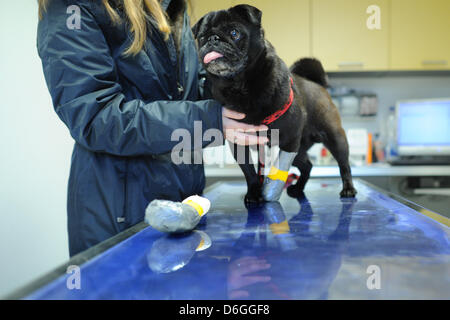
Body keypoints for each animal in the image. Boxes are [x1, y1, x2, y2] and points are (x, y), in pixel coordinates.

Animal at [192, 4, 356, 202]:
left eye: (234, 33)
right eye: (202, 37)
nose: (212, 39)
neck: (241, 85)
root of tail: (317, 84)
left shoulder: (289, 139)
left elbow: (279, 169)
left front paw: (269, 193)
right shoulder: (240, 144)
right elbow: (250, 172)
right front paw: (254, 192)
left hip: (333, 138)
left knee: (344, 165)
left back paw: (348, 188)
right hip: (300, 148)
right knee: (307, 166)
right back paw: (298, 188)